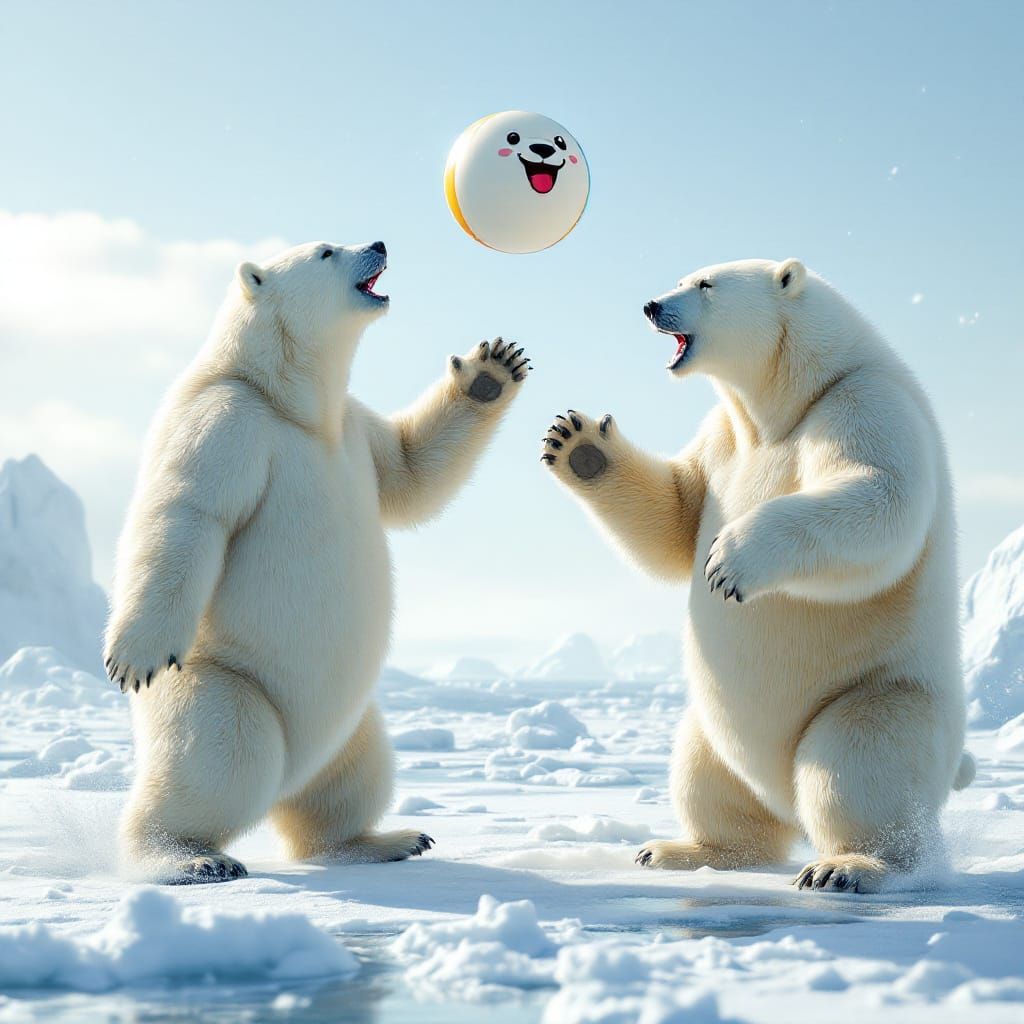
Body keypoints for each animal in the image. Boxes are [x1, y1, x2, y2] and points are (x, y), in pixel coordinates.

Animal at [104, 239, 530, 883]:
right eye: (327, 251)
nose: (378, 244)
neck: (291, 406)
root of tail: (293, 773)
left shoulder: (352, 428)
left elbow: (411, 470)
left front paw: (490, 370)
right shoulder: (228, 419)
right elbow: (190, 509)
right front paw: (134, 653)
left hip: (349, 721)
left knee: (352, 776)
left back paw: (386, 840)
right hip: (226, 680)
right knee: (223, 754)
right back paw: (188, 857)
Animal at [541, 258, 973, 894]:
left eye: (706, 284)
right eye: (683, 277)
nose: (651, 305)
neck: (784, 407)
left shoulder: (862, 402)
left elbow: (880, 498)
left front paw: (730, 562)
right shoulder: (722, 439)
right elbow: (674, 517)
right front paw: (578, 443)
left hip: (880, 691)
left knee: (857, 766)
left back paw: (849, 866)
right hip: (715, 726)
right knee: (706, 775)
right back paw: (680, 850)